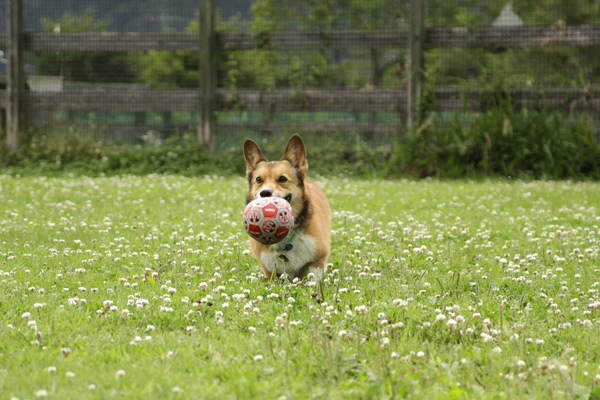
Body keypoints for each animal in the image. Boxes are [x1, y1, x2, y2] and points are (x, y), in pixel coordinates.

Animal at [241, 134, 330, 282]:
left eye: (282, 179)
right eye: (258, 180)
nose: (265, 193)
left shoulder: (317, 261)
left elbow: (313, 280)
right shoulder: (270, 270)